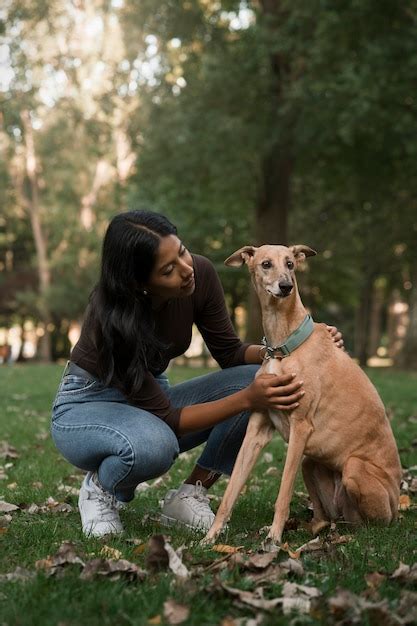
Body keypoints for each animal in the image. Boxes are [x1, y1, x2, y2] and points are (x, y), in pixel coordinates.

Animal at [203, 244, 402, 544]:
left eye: (290, 264)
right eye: (265, 264)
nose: (286, 286)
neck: (284, 345)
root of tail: (398, 504)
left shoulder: (300, 427)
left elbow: (283, 493)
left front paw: (275, 538)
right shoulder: (257, 429)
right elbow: (230, 491)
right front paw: (210, 537)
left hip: (354, 470)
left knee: (370, 525)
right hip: (311, 462)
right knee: (324, 517)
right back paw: (314, 527)